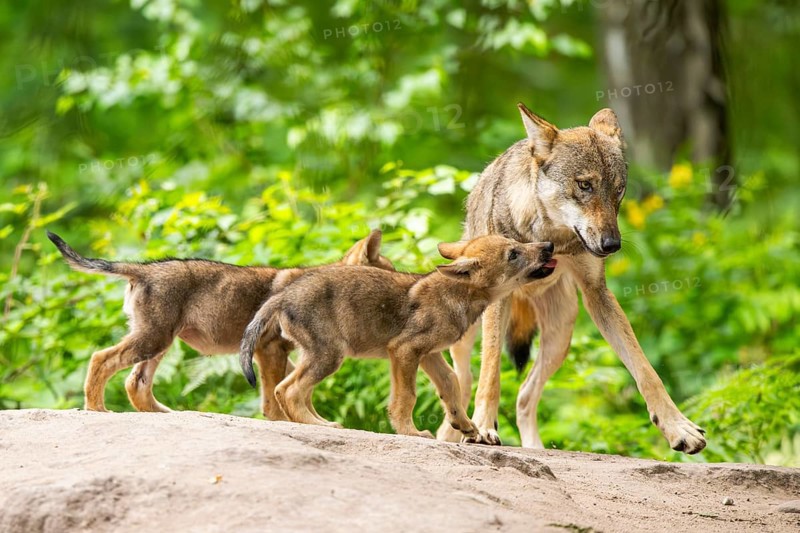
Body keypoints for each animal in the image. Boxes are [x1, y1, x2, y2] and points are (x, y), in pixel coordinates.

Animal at [47, 229, 393, 417]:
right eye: (388, 274)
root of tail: (143, 269)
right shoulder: (270, 350)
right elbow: (275, 397)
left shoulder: (286, 354)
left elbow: (295, 393)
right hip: (153, 340)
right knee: (100, 358)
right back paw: (96, 409)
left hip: (159, 343)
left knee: (136, 383)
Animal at [239, 236, 557, 439]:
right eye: (513, 254)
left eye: (518, 244)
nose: (549, 245)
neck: (457, 297)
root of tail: (283, 295)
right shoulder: (405, 350)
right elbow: (407, 397)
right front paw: (410, 432)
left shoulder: (430, 354)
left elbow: (451, 385)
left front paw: (465, 425)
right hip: (329, 357)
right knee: (289, 390)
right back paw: (324, 427)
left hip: (317, 357)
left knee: (286, 390)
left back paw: (322, 423)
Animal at [436, 104, 706, 454]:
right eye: (584, 185)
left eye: (618, 189)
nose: (612, 245)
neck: (551, 237)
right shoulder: (496, 304)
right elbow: (491, 372)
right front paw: (483, 427)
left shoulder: (597, 293)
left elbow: (645, 369)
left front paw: (678, 428)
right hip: (467, 329)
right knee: (465, 382)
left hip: (561, 336)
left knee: (524, 396)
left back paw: (534, 449)